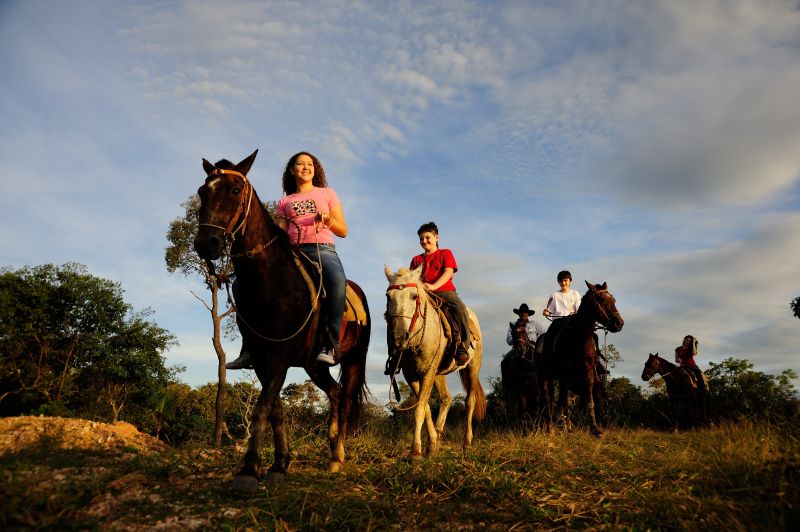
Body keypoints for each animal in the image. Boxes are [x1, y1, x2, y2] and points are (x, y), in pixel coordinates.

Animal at [194, 151, 372, 494]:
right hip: (314, 365)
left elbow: (263, 406)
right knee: (334, 393)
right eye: (201, 192)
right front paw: (279, 465)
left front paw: (248, 471)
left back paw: (337, 456)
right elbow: (275, 407)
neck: (271, 279)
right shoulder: (263, 358)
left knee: (345, 397)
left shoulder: (278, 357)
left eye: (235, 190)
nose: (206, 244)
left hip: (355, 359)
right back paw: (331, 447)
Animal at [382, 266, 484, 462]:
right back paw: (438, 435)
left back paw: (467, 443)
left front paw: (415, 452)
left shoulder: (427, 371)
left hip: (472, 368)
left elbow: (419, 409)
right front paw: (431, 445)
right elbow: (426, 408)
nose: (399, 338)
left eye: (414, 296)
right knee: (446, 398)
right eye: (388, 296)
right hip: (440, 373)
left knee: (470, 401)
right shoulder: (411, 375)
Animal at [536, 280, 624, 438]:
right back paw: (550, 427)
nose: (619, 323)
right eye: (601, 299)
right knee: (547, 400)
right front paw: (560, 427)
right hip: (543, 376)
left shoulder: (587, 373)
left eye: (613, 300)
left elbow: (589, 401)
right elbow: (563, 401)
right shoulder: (564, 374)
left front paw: (594, 429)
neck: (578, 337)